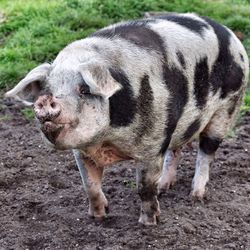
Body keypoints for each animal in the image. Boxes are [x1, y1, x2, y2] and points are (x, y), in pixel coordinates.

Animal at [4, 12, 249, 226]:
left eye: (84, 90)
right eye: (47, 89)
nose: (46, 100)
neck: (107, 140)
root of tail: (230, 34)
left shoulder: (153, 144)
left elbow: (144, 188)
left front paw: (149, 223)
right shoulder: (82, 151)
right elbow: (89, 185)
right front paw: (99, 217)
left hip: (227, 108)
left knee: (206, 152)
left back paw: (195, 195)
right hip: (178, 124)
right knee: (175, 150)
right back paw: (165, 187)